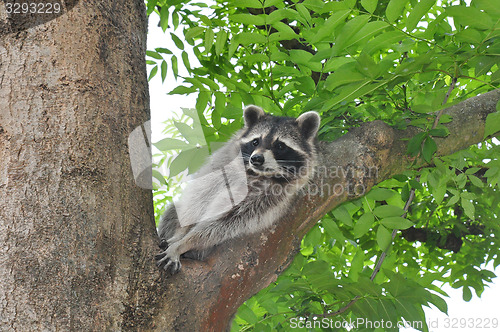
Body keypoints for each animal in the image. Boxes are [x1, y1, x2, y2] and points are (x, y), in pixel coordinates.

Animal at [156, 105, 320, 274]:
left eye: (280, 146)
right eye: (255, 141)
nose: (256, 159)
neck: (257, 174)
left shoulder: (270, 197)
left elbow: (225, 221)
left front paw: (184, 244)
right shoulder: (223, 162)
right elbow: (199, 196)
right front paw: (180, 235)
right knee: (174, 209)